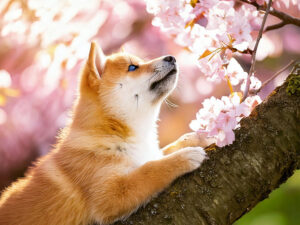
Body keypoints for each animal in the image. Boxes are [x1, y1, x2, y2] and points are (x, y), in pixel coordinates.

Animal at [0, 41, 206, 223]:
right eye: (133, 67)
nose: (171, 57)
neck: (115, 132)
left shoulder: (145, 155)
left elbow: (163, 152)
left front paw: (197, 138)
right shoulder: (110, 195)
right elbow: (150, 170)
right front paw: (184, 157)